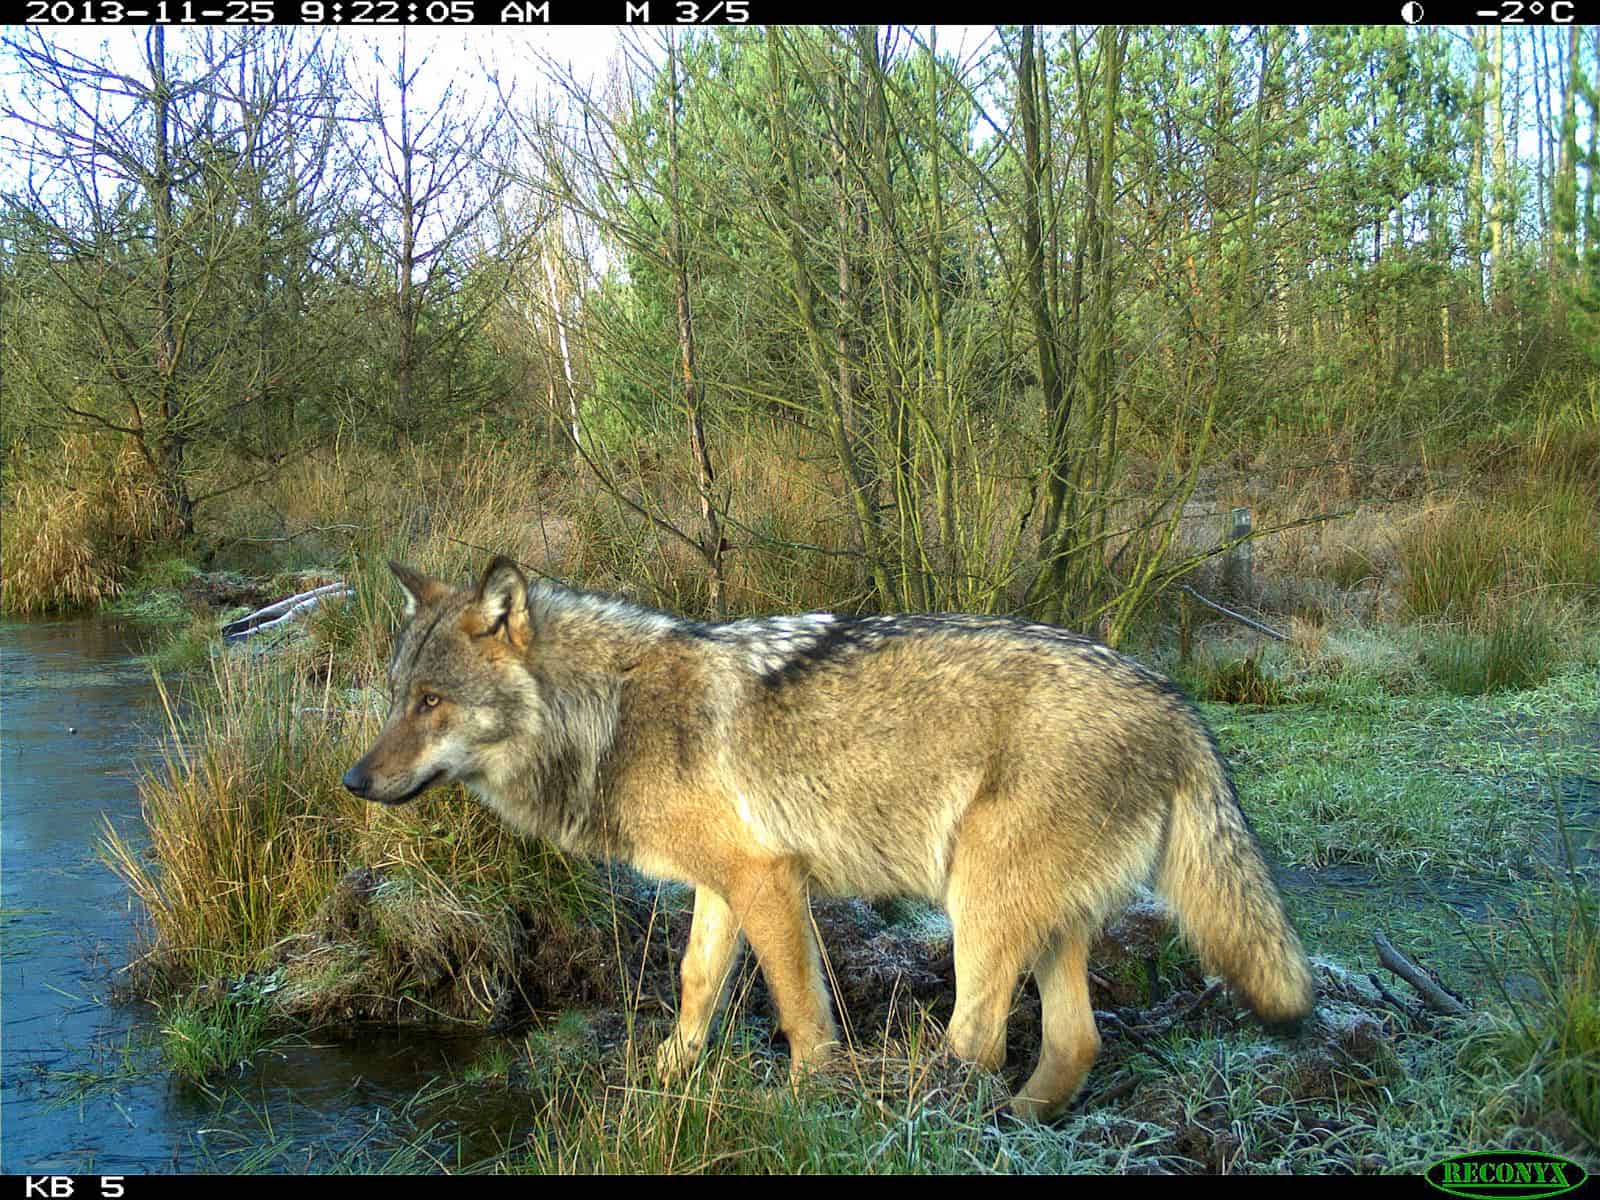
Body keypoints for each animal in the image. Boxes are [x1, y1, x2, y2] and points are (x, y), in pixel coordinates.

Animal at [343, 556, 1315, 1120]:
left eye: (431, 702)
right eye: (395, 697)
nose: (353, 781)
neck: (610, 714)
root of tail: (1179, 705)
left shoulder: (771, 880)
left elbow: (800, 1010)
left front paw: (809, 1104)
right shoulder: (720, 885)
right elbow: (695, 984)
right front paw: (667, 1074)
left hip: (976, 900)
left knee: (979, 1038)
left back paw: (922, 1120)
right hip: (1039, 919)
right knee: (1075, 1042)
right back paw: (1013, 1122)